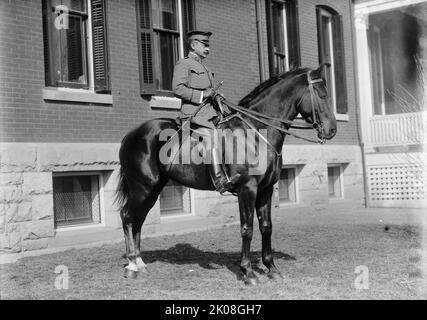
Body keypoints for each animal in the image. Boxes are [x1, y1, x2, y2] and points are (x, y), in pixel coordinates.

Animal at [116, 65, 338, 284]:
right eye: (322, 94)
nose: (332, 130)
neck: (256, 132)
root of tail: (131, 134)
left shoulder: (265, 189)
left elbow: (266, 227)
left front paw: (271, 269)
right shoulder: (247, 189)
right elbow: (247, 229)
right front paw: (248, 272)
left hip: (153, 189)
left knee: (138, 219)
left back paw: (139, 263)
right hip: (142, 187)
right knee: (127, 216)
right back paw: (132, 265)